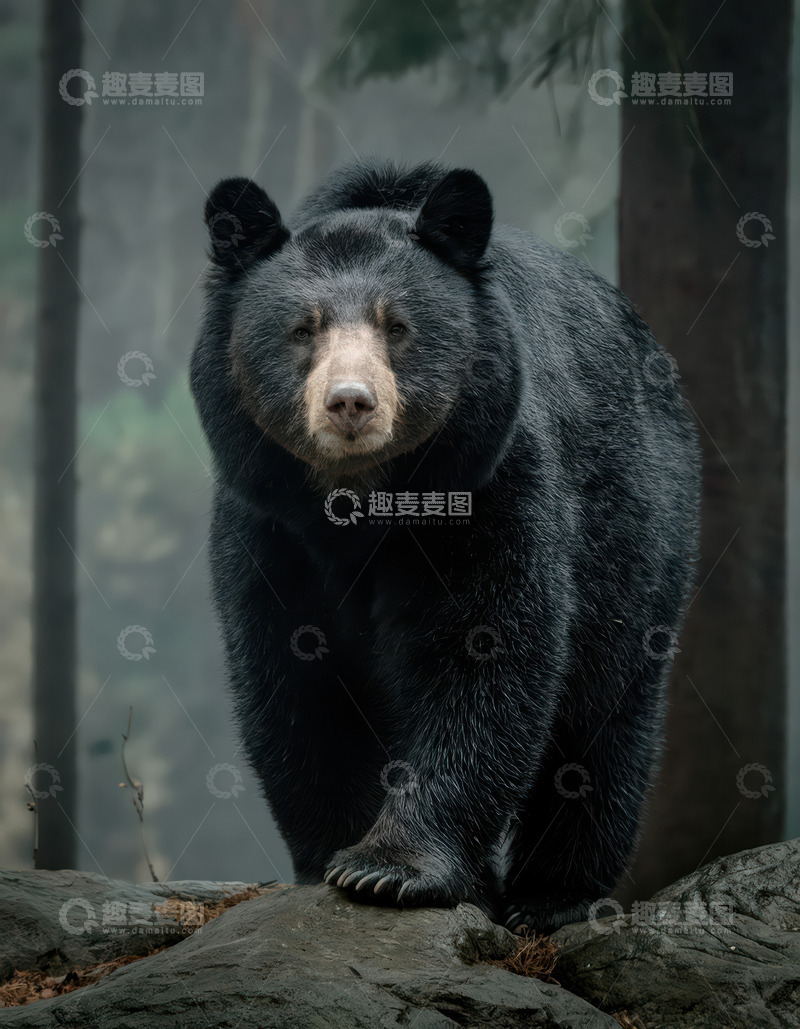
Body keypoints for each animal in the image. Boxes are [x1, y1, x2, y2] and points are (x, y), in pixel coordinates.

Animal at [189, 159, 701, 934]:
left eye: (397, 326)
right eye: (303, 328)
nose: (350, 402)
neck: (363, 501)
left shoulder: (493, 485)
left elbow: (484, 652)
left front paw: (388, 868)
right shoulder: (267, 525)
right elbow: (295, 674)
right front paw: (333, 853)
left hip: (642, 531)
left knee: (603, 722)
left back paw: (552, 896)